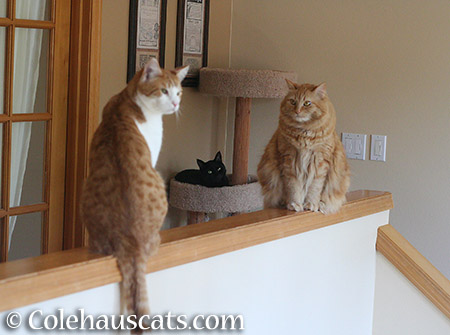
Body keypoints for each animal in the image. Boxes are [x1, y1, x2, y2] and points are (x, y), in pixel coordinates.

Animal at [81, 58, 188, 334]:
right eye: (164, 91)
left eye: (179, 92)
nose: (176, 104)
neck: (127, 100)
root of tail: (128, 239)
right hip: (158, 181)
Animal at [256, 80, 352, 215]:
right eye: (292, 102)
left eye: (307, 103)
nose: (297, 111)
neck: (304, 133)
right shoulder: (289, 159)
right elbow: (293, 187)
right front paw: (294, 205)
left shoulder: (320, 162)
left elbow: (314, 188)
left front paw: (311, 205)